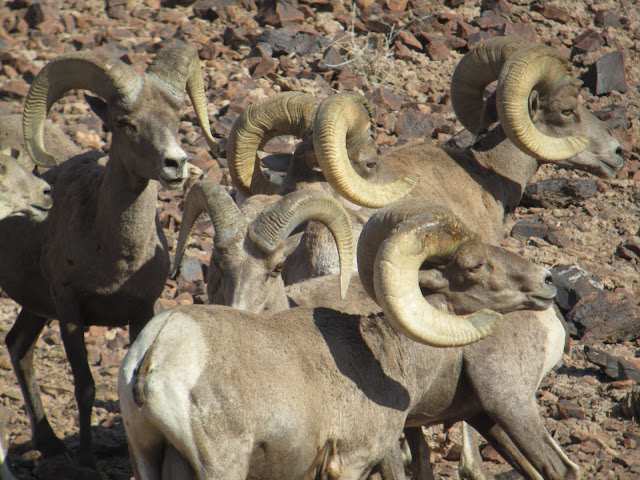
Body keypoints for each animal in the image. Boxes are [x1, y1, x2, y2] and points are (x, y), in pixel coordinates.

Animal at [0, 44, 217, 469]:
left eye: (178, 118)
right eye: (124, 123)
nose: (176, 164)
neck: (117, 260)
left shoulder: (141, 313)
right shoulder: (70, 313)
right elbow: (85, 386)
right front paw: (86, 461)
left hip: (35, 307)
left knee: (18, 346)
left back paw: (50, 443)